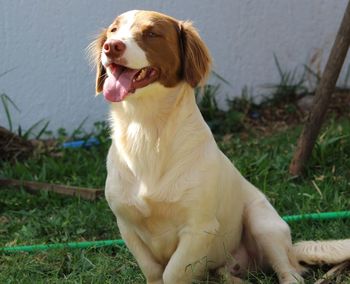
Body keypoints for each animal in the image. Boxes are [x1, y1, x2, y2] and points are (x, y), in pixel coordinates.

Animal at [90, 10, 350, 284]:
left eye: (152, 33)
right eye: (113, 30)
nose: (111, 47)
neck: (146, 130)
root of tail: (292, 250)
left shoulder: (199, 229)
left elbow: (172, 272)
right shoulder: (127, 226)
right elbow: (153, 271)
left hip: (262, 221)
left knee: (290, 272)